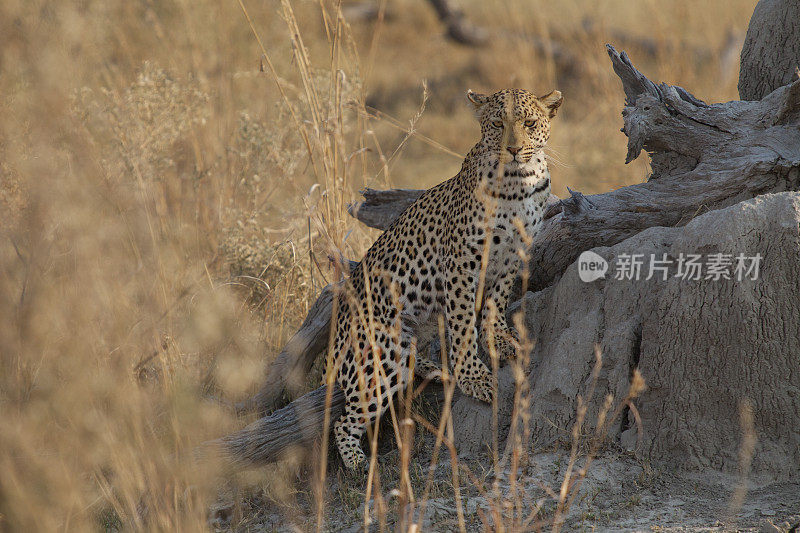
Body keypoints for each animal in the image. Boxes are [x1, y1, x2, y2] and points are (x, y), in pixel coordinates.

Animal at [324, 88, 564, 470]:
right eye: (497, 124)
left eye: (529, 123)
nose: (513, 149)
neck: (519, 182)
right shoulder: (462, 263)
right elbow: (463, 323)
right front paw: (474, 378)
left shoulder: (515, 254)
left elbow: (496, 301)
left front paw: (500, 339)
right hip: (381, 356)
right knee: (344, 420)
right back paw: (359, 463)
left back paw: (435, 369)